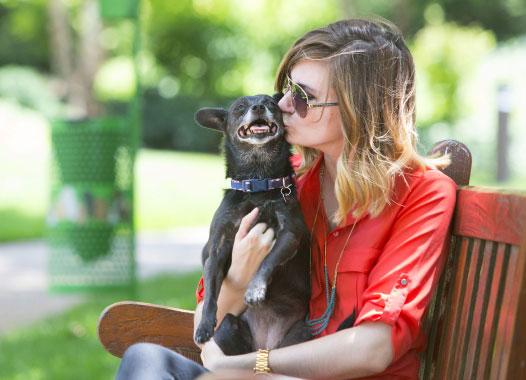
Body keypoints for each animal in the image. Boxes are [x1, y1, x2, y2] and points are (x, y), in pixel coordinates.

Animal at [195, 93, 314, 354]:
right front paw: (204, 325)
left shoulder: (289, 234)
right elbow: (210, 290)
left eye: (270, 103)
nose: (258, 107)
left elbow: (268, 260)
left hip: (302, 334)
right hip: (228, 328)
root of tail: (265, 346)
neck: (258, 181)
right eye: (240, 107)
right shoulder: (216, 248)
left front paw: (255, 289)